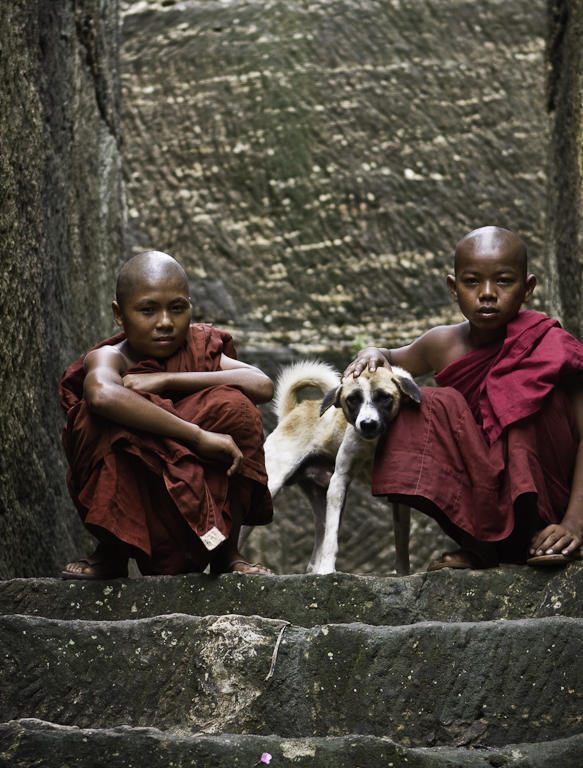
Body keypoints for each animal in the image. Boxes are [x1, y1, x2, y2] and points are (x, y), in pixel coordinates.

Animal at [240, 364, 422, 572]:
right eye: (352, 399)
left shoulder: (398, 494)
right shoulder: (339, 480)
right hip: (272, 486)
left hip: (321, 499)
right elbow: (331, 541)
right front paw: (328, 571)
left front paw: (403, 573)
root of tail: (292, 412)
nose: (367, 425)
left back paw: (314, 572)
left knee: (319, 540)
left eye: (385, 397)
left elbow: (402, 543)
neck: (376, 443)